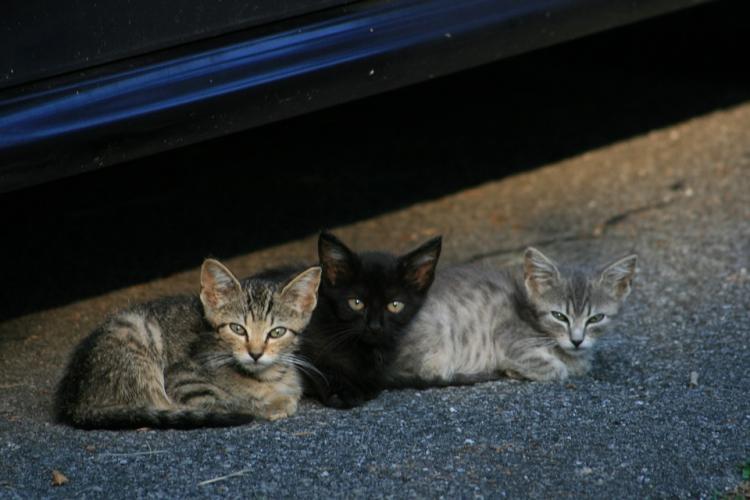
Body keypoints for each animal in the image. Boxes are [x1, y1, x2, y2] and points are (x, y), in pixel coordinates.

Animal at [55, 258, 320, 430]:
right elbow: (230, 402)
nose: (255, 353)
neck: (267, 376)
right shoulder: (183, 380)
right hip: (139, 335)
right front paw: (271, 405)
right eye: (237, 329)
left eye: (277, 332)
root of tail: (73, 400)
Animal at [300, 232, 440, 408]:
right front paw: (343, 392)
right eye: (356, 303)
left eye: (395, 305)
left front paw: (367, 386)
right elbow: (320, 368)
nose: (374, 326)